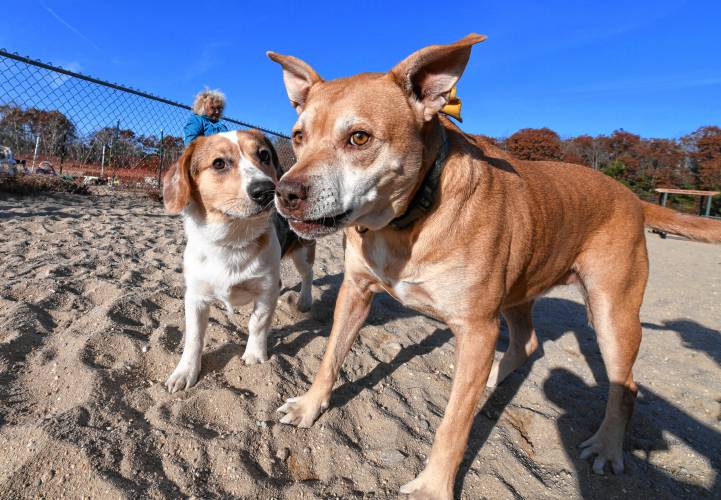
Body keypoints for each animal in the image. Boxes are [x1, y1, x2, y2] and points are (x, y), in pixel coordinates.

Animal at [163, 130, 316, 394]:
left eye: (264, 155)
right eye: (219, 163)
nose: (267, 190)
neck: (233, 240)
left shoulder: (266, 290)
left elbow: (257, 324)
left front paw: (254, 355)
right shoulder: (195, 297)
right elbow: (194, 337)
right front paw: (185, 371)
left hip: (303, 253)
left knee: (308, 275)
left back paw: (305, 300)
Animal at [264, 36, 720, 500]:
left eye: (359, 138)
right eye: (299, 136)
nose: (285, 193)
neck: (409, 219)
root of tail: (631, 195)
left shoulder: (477, 329)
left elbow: (453, 426)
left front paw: (433, 486)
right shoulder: (355, 292)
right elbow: (330, 357)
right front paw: (309, 406)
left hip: (613, 315)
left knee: (624, 387)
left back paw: (608, 447)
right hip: (519, 292)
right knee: (528, 342)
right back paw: (493, 377)